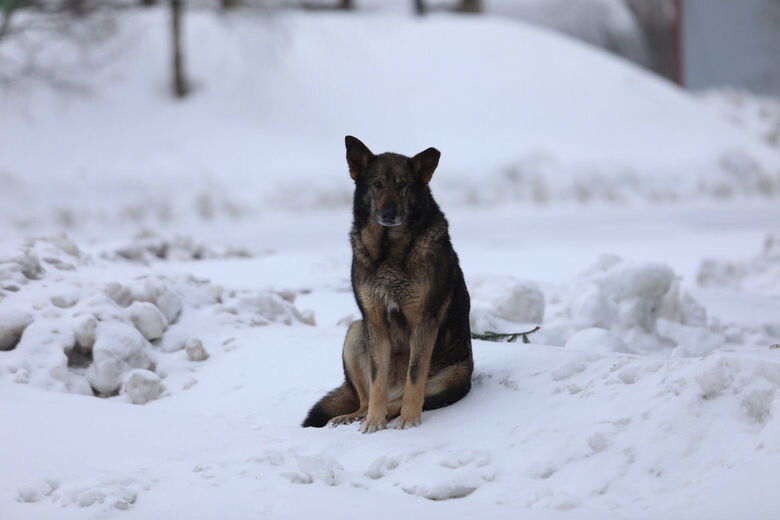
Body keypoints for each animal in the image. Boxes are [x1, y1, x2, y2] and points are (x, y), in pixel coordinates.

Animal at [302, 136, 473, 433]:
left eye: (402, 185)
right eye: (377, 184)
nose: (389, 213)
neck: (389, 251)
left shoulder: (423, 322)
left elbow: (414, 377)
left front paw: (409, 419)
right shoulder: (376, 321)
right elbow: (377, 381)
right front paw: (373, 422)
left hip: (449, 379)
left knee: (403, 396)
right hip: (356, 331)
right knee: (367, 397)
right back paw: (354, 416)